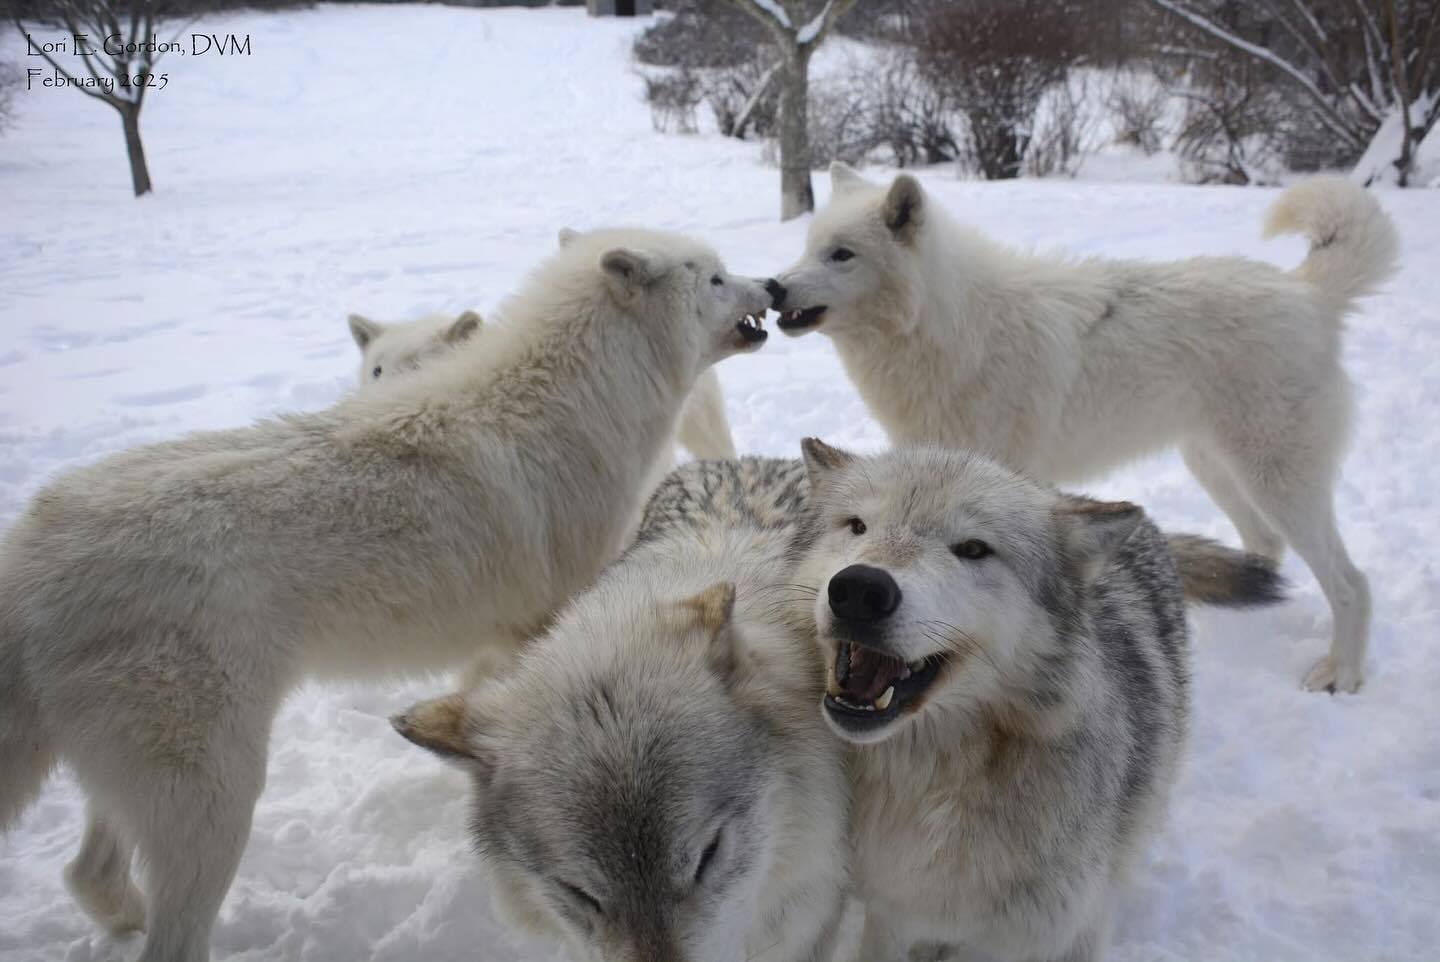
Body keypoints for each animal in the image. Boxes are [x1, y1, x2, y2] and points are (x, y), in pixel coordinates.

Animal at [0, 227, 777, 962]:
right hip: (217, 798)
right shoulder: (543, 621)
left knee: (88, 877)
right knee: (167, 936)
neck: (579, 402)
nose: (769, 283)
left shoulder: (500, 639)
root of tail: (31, 546)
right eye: (716, 277)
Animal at [771, 165, 1399, 691]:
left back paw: (1340, 674)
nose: (773, 285)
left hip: (1277, 481)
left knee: (1353, 583)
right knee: (1265, 546)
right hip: (1218, 469)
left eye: (842, 255)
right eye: (806, 248)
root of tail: (1308, 291)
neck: (946, 329)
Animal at [794, 440, 1290, 956]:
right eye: (857, 525)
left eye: (973, 549)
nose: (859, 589)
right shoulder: (892, 912)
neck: (933, 786)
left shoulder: (1049, 935)